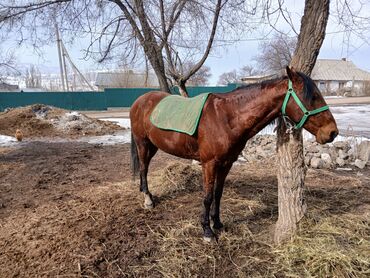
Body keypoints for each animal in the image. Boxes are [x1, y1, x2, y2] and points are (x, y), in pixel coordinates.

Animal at [129, 67, 338, 241]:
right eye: (313, 97)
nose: (332, 132)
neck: (227, 118)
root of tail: (139, 101)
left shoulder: (226, 163)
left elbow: (218, 194)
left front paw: (217, 223)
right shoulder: (209, 164)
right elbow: (207, 197)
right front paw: (207, 231)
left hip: (153, 145)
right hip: (143, 143)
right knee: (143, 168)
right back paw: (148, 199)